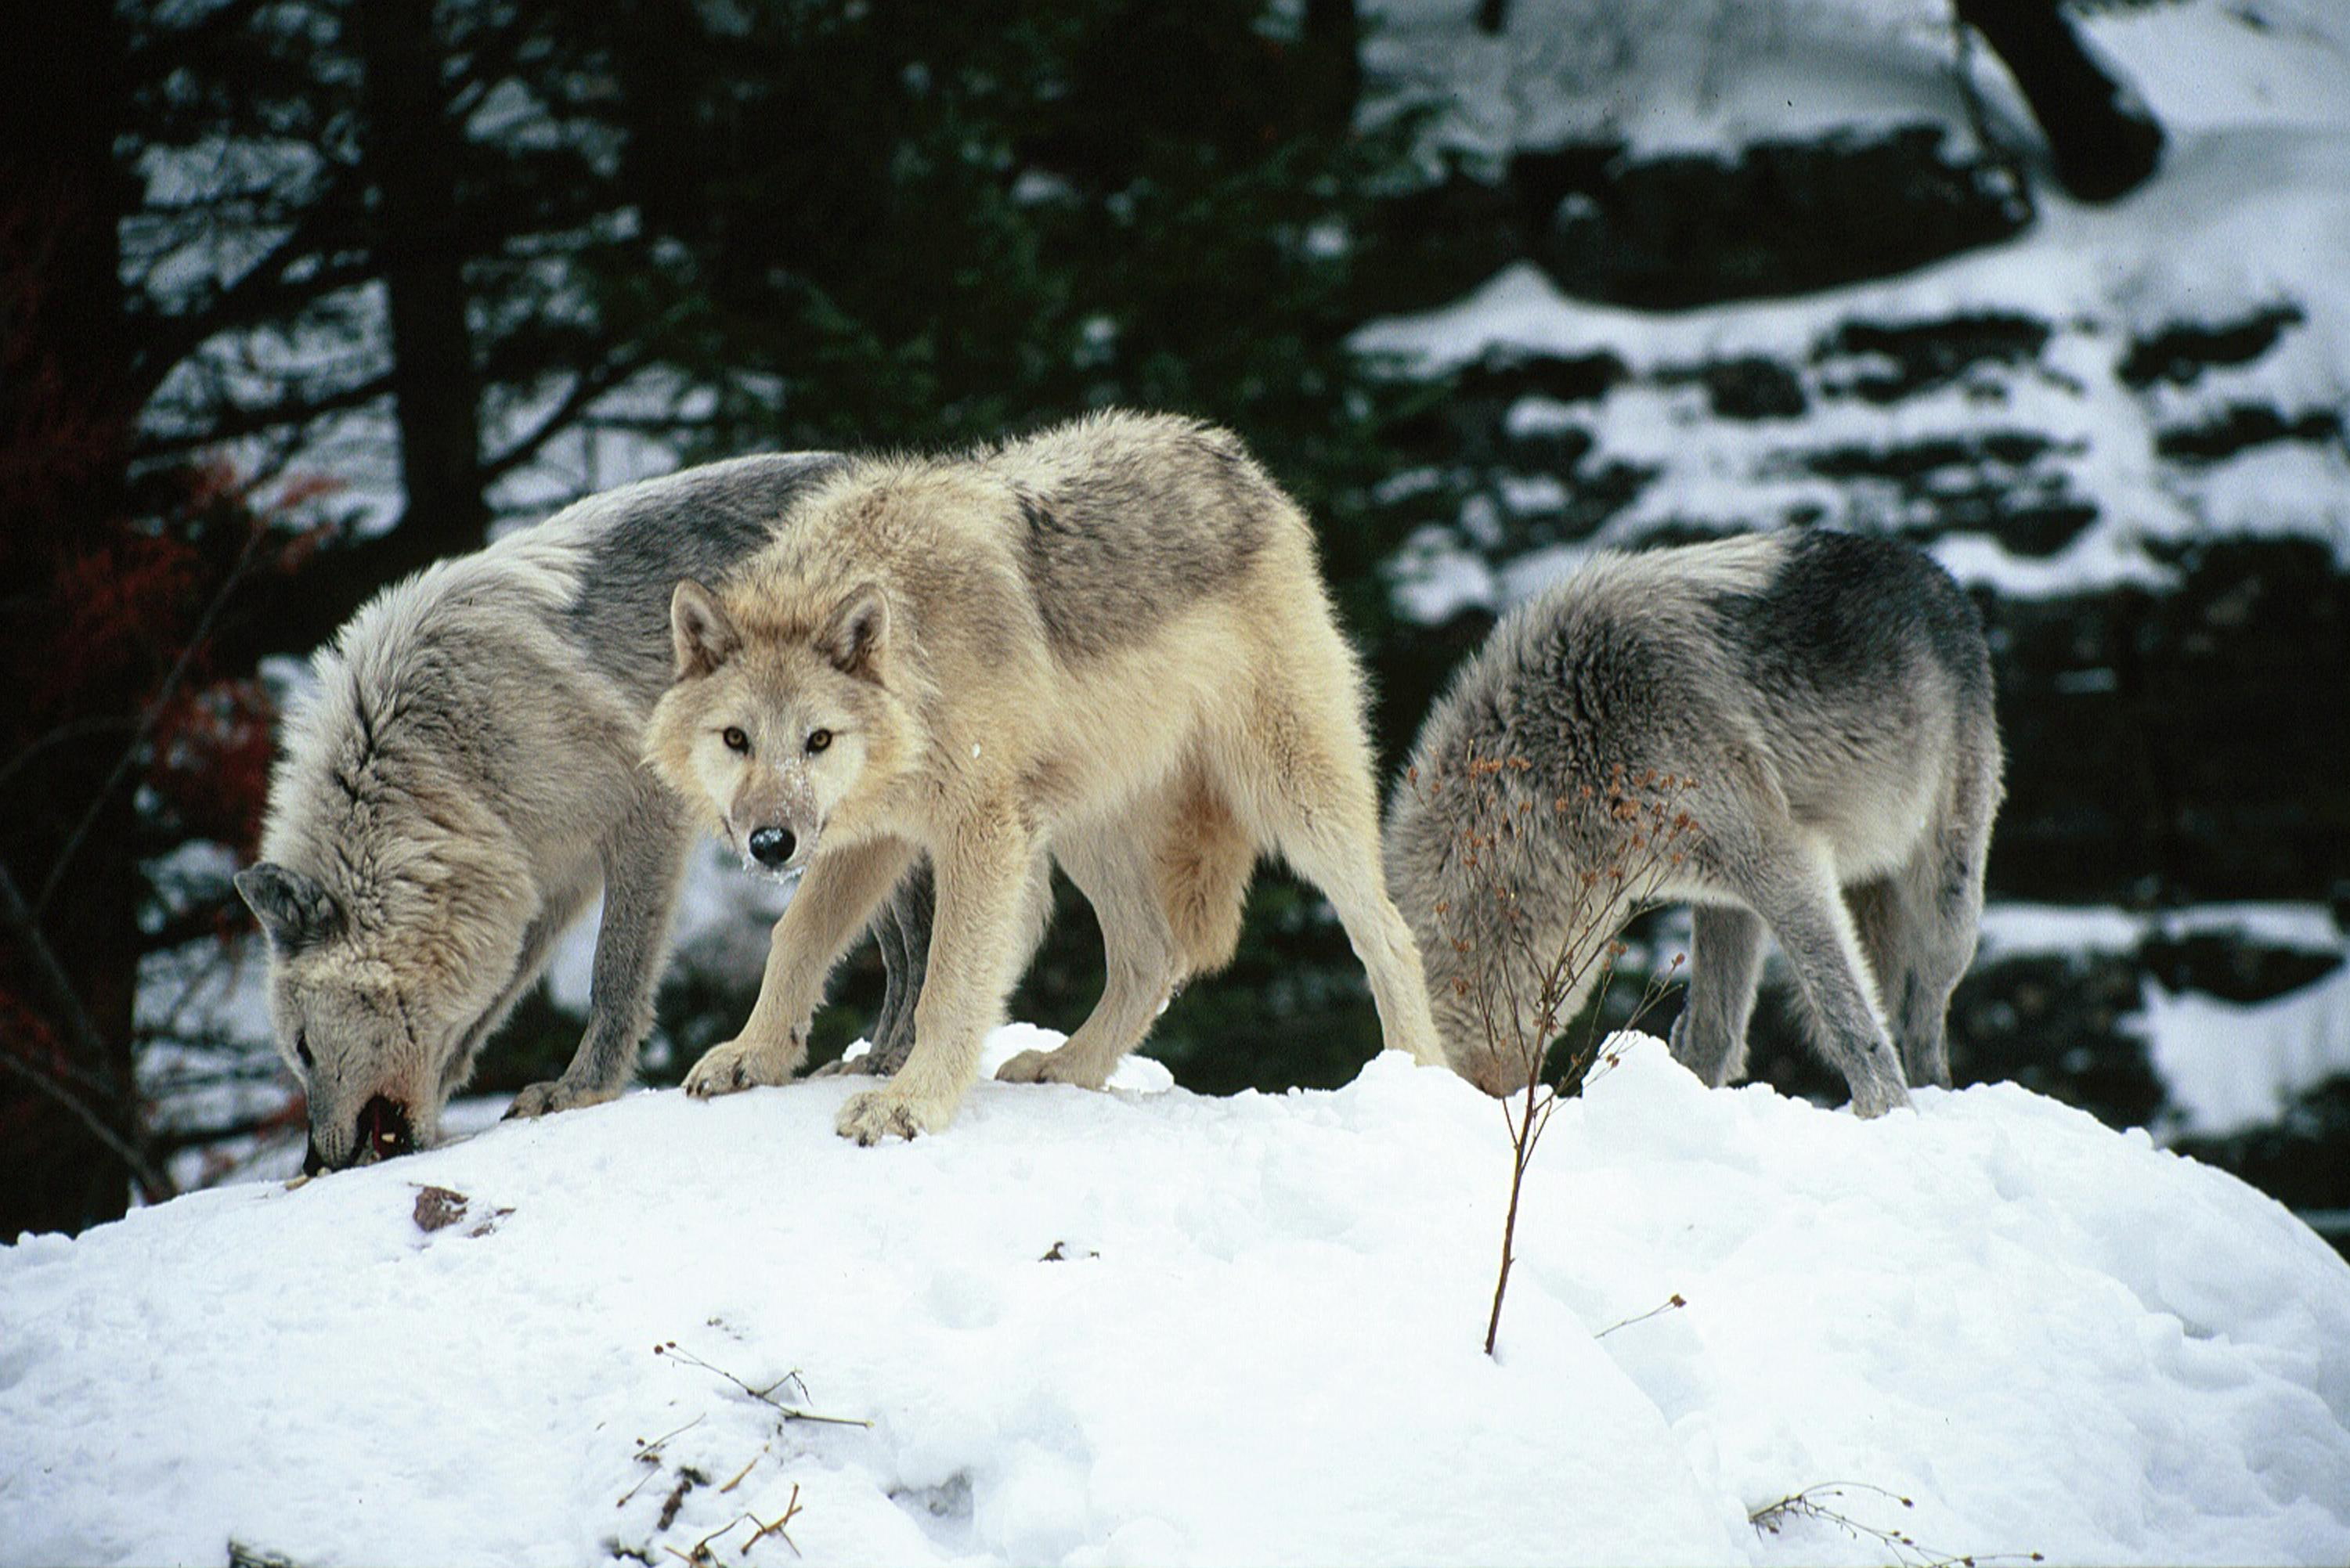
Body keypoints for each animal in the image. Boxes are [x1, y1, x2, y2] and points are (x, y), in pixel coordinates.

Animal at [236, 455, 928, 1172]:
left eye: (305, 1049)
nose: (315, 1163)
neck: (446, 760)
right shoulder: (533, 882)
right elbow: (487, 1008)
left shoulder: (642, 815)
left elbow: (612, 974)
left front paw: (580, 1089)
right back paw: (879, 1055)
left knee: (920, 935)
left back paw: (895, 1053)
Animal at [643, 409, 1446, 1143]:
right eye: (737, 739)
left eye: (818, 740)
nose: (770, 843)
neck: (918, 652)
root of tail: (1233, 457)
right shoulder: (876, 836)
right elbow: (798, 939)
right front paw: (752, 1055)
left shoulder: (981, 831)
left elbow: (947, 984)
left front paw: (909, 1102)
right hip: (1081, 827)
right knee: (1152, 956)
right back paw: (1068, 1068)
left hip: (1288, 797)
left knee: (1388, 932)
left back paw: (1419, 1079)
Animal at [1382, 529, 2003, 1116]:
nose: (1495, 1094)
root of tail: (1941, 579)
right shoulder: (1731, 890)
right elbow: (1711, 1035)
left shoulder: (1782, 863)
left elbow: (1847, 1014)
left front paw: (1887, 1109)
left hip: (1946, 906)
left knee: (1923, 1012)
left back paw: (1931, 1091)